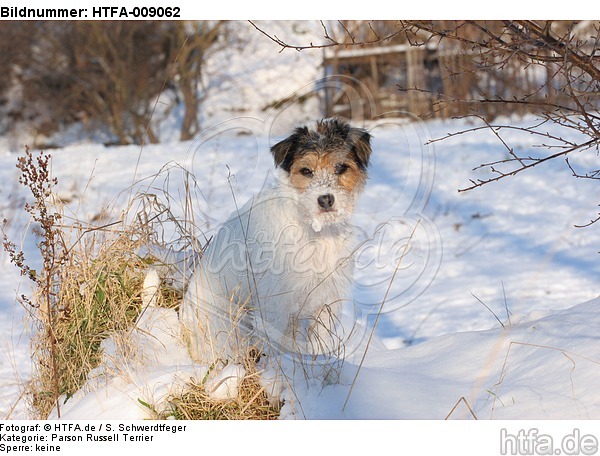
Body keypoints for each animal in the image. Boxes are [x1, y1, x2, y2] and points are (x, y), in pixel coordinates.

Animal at [180, 117, 372, 366]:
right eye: (306, 171)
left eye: (340, 167)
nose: (325, 199)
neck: (313, 228)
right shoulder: (275, 304)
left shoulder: (326, 300)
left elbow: (320, 340)